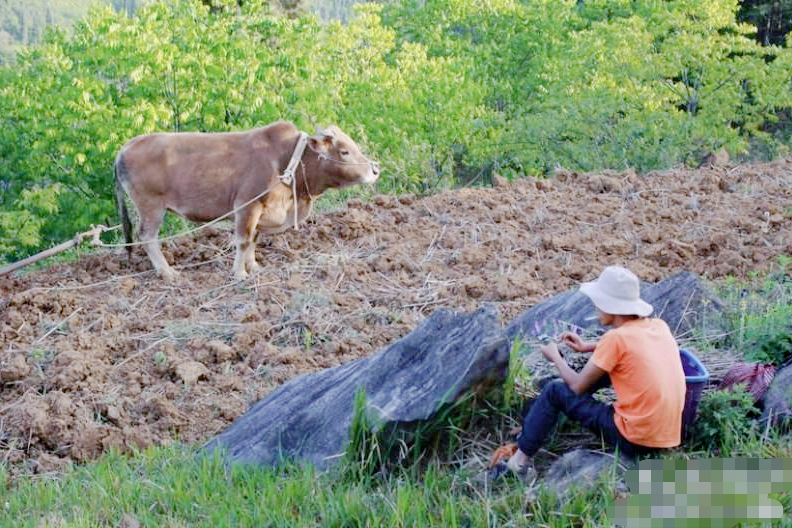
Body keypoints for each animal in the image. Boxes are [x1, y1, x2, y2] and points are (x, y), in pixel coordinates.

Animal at [113, 120, 380, 280]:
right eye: (344, 151)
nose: (375, 170)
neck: (285, 161)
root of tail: (126, 147)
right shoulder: (247, 207)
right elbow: (243, 241)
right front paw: (240, 273)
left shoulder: (263, 211)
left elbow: (253, 240)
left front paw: (254, 266)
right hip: (151, 208)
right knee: (147, 237)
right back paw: (167, 271)